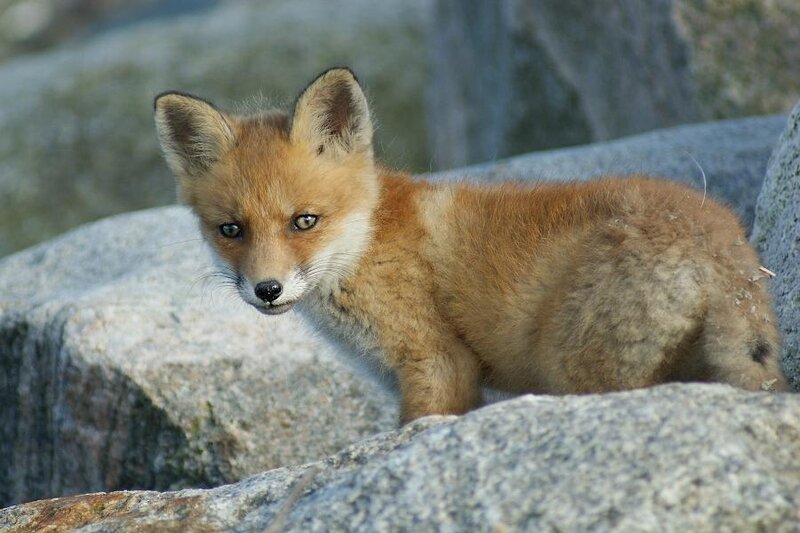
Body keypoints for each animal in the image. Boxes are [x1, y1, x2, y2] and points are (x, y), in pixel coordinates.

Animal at [154, 67, 790, 423]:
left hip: (573, 369)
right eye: (231, 230)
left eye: (304, 221)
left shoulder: (439, 364)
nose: (267, 290)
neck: (368, 241)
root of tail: (723, 244)